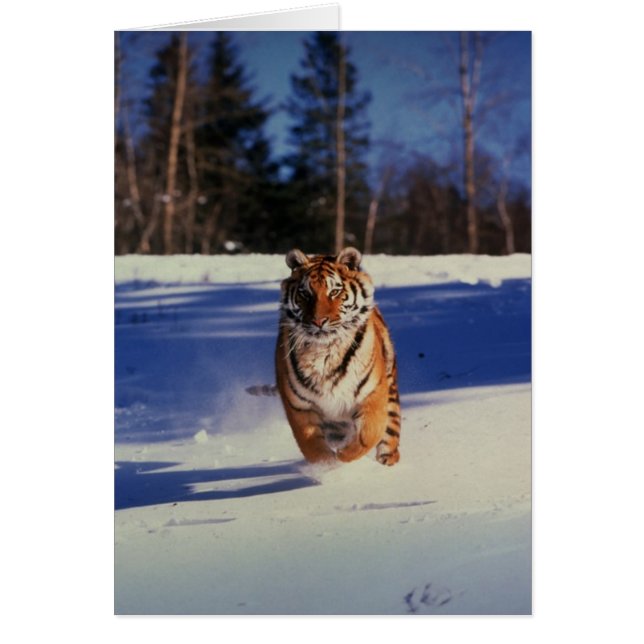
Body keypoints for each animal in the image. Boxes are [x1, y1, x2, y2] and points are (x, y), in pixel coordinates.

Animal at [275, 247, 401, 466]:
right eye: (305, 293)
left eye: (334, 291)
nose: (318, 321)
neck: (324, 351)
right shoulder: (298, 406)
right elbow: (312, 448)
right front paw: (327, 465)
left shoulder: (373, 392)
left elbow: (369, 433)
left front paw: (343, 456)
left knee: (390, 429)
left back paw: (387, 458)